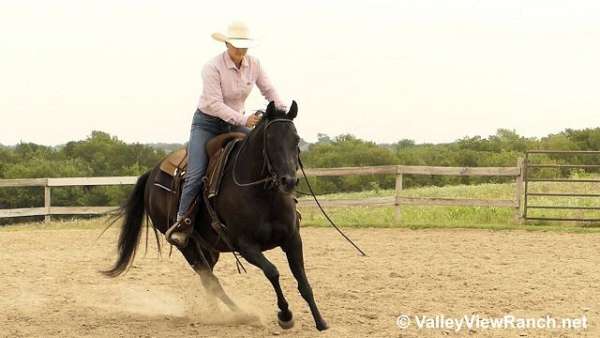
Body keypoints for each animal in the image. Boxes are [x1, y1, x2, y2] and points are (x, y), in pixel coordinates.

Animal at [102, 101, 328, 332]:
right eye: (270, 139)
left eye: (296, 139)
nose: (288, 181)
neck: (263, 195)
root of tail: (151, 173)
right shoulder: (246, 246)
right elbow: (272, 272)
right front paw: (285, 315)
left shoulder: (292, 239)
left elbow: (303, 280)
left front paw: (320, 321)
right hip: (187, 246)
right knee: (210, 279)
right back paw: (241, 314)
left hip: (209, 247)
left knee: (209, 279)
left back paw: (216, 312)